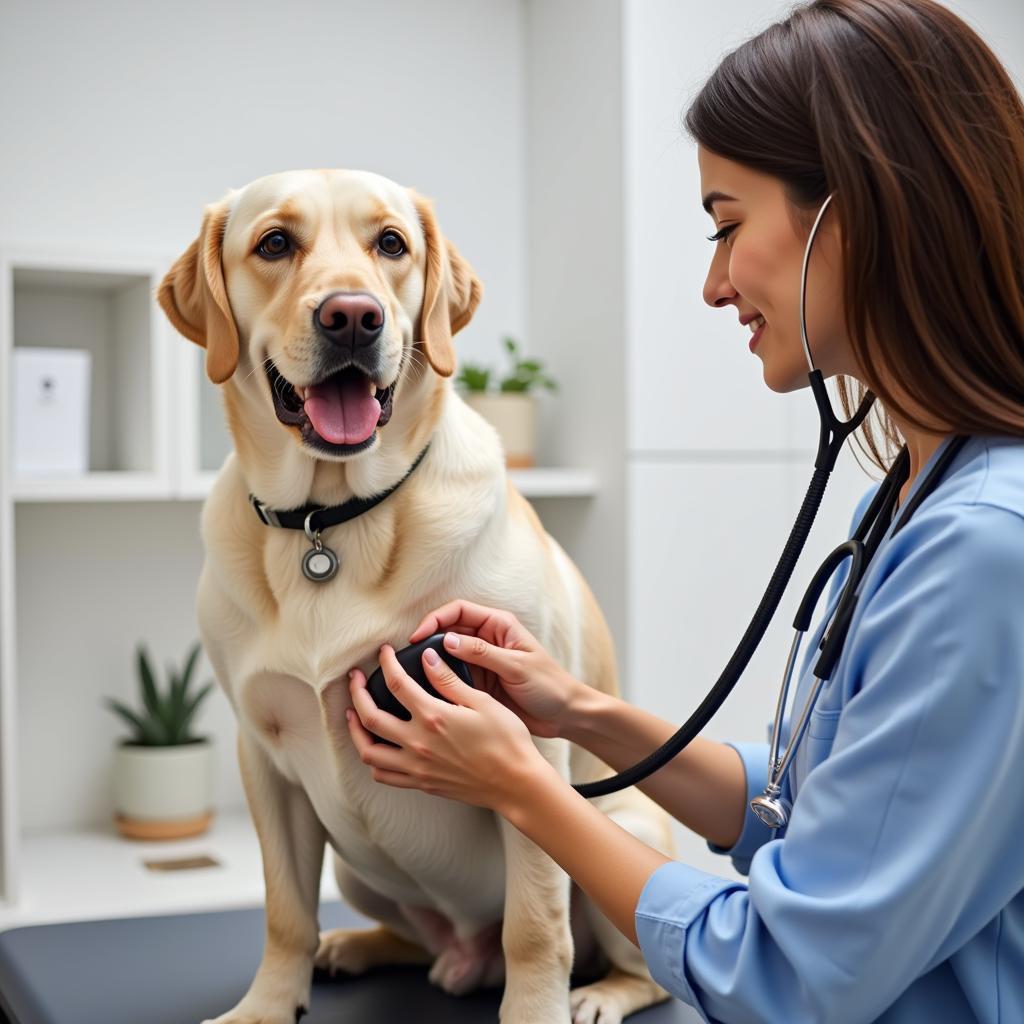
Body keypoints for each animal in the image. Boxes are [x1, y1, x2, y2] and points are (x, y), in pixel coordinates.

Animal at [155, 169, 675, 1024]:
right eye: (274, 243)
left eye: (391, 244)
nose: (352, 317)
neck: (329, 522)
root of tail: (466, 956)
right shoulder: (261, 755)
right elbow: (282, 911)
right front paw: (268, 1003)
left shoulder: (528, 746)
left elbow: (537, 924)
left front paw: (536, 1010)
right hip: (355, 868)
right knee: (411, 939)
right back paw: (357, 947)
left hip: (622, 820)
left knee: (635, 960)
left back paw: (598, 993)